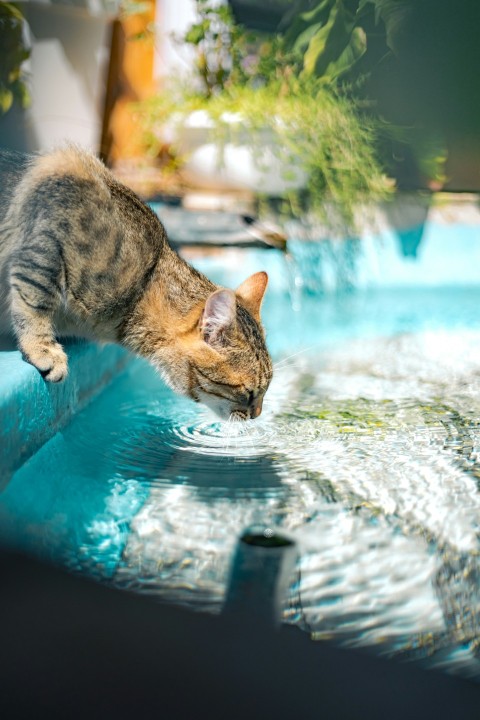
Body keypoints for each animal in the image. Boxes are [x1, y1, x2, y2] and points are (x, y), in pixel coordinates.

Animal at [0, 146, 270, 420]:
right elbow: (34, 301)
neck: (144, 285)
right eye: (249, 393)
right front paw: (42, 348)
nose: (258, 414)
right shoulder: (47, 238)